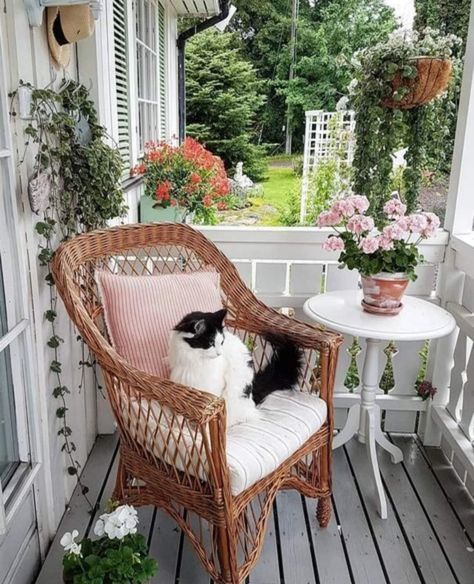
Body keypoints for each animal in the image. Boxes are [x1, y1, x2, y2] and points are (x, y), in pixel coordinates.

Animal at [168, 308, 300, 426]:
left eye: (221, 342)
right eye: (211, 343)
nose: (219, 353)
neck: (194, 360)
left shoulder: (213, 388)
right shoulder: (184, 381)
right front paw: (178, 424)